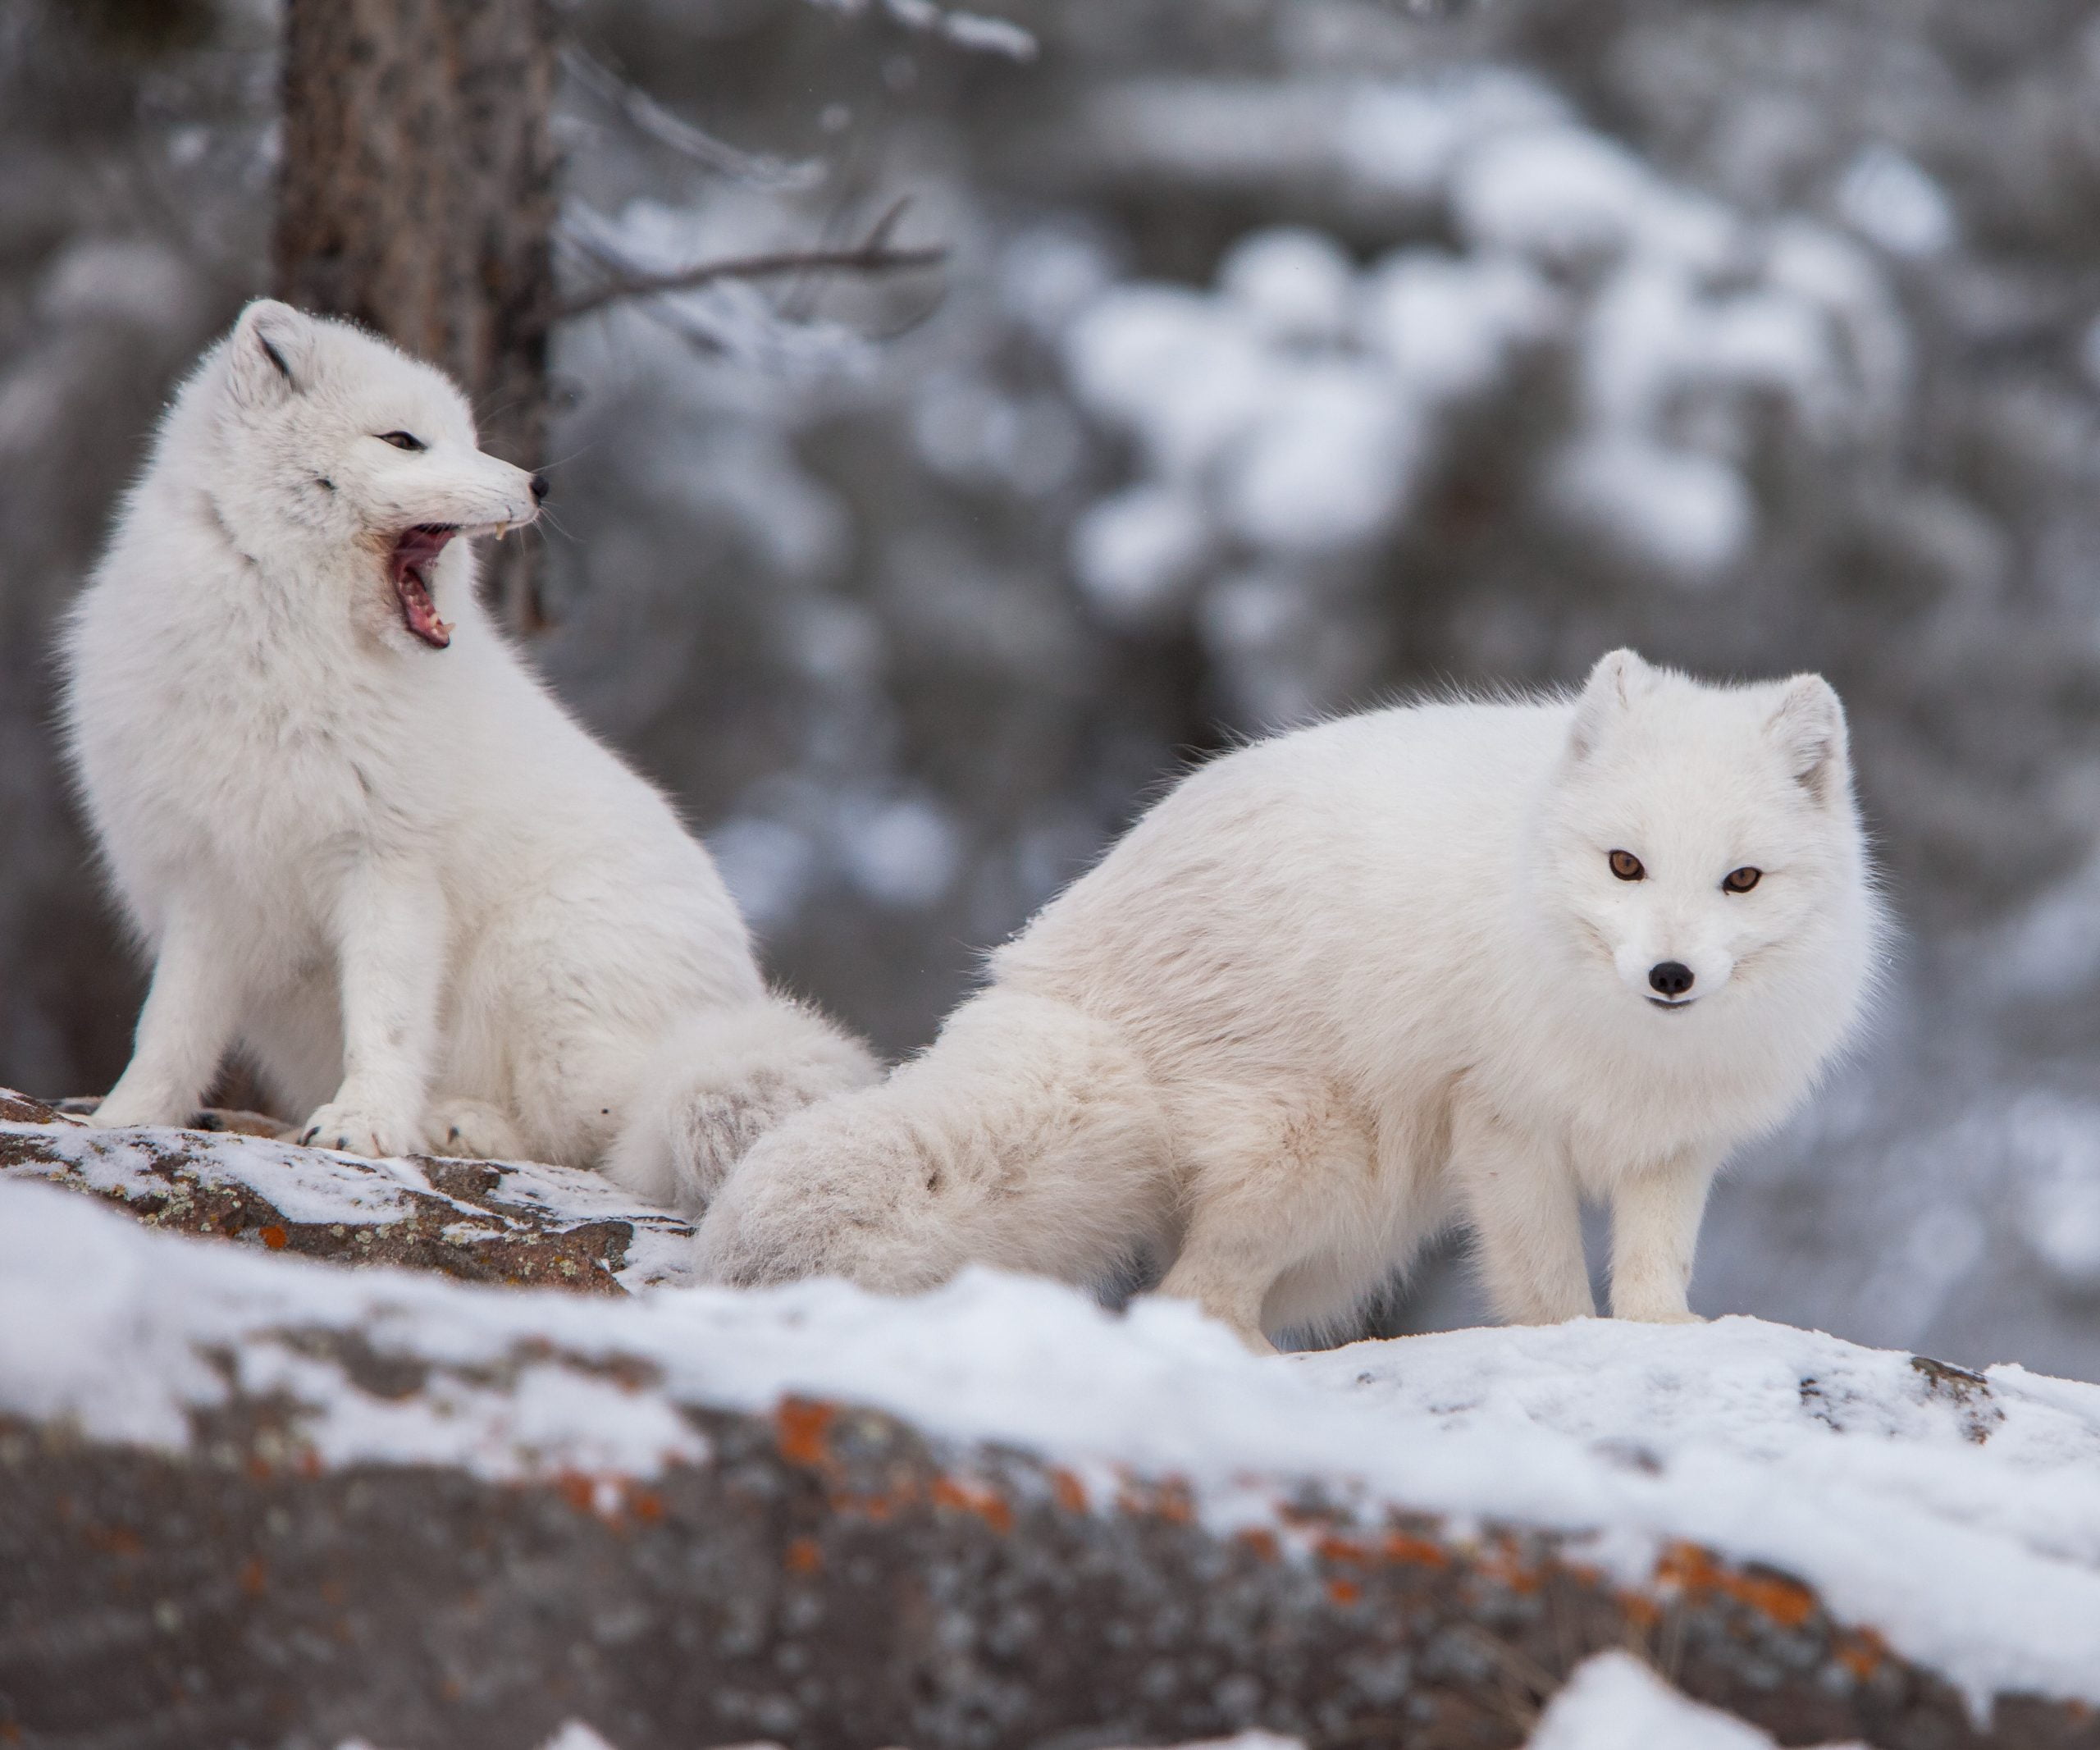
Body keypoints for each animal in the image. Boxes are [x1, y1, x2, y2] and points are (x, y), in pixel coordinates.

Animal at [61, 304, 873, 1201]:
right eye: (404, 440)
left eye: (468, 438)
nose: (539, 485)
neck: (290, 645)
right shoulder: (209, 878)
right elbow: (168, 1027)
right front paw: (123, 1119)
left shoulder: (388, 860)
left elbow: (384, 1016)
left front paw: (362, 1123)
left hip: (551, 986)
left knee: (614, 1142)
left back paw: (460, 1124)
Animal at [701, 647, 1890, 1344]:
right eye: (1625, 865)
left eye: (1741, 881)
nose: (1670, 977)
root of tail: (1052, 973)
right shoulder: (1500, 1120)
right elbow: (1546, 1284)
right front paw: (1565, 1350)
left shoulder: (1672, 1146)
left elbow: (1653, 1271)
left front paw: (1660, 1341)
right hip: (1325, 1161)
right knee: (1189, 1296)